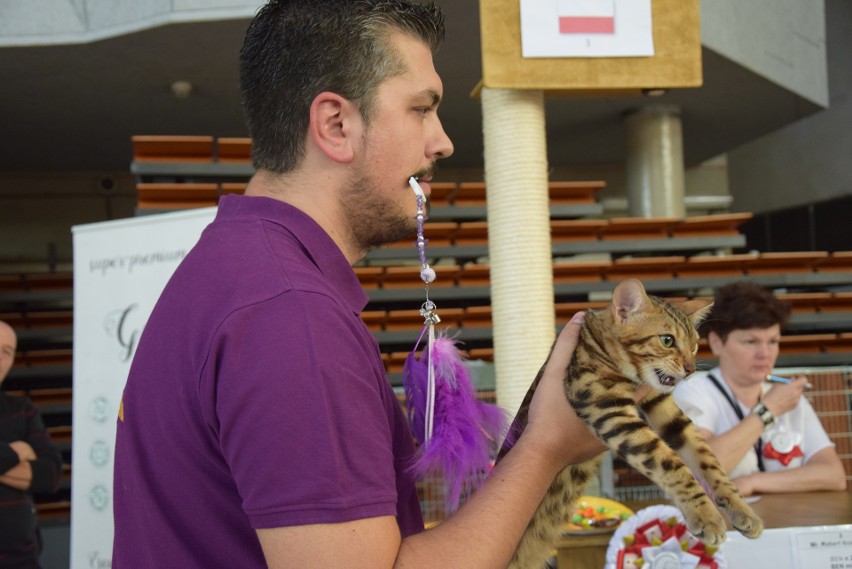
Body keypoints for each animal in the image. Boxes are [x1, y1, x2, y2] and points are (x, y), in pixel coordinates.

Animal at [496, 278, 764, 564]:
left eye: (694, 344)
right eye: (667, 340)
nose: (691, 369)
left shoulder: (666, 410)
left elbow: (709, 461)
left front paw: (742, 510)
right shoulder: (610, 411)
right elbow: (671, 464)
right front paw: (706, 516)